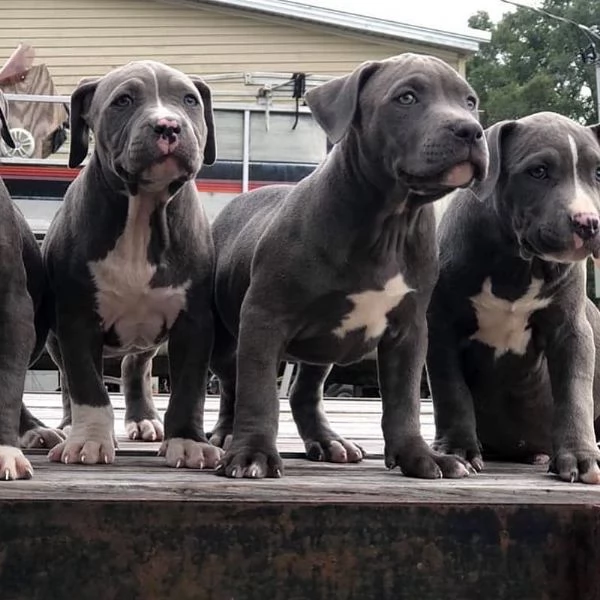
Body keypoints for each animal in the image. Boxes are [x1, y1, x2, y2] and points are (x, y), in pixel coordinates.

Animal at [43, 61, 223, 468]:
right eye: (123, 101)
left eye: (189, 99)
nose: (168, 125)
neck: (144, 209)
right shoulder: (76, 320)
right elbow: (87, 385)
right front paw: (90, 440)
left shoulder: (194, 322)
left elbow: (188, 389)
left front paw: (186, 441)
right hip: (54, 339)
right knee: (72, 381)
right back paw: (69, 424)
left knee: (134, 368)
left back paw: (144, 419)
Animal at [209, 54, 490, 480]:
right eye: (406, 98)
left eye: (469, 101)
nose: (470, 130)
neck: (391, 220)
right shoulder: (264, 317)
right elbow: (258, 393)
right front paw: (253, 453)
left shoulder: (409, 331)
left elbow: (404, 401)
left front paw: (418, 456)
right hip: (227, 338)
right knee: (232, 385)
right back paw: (227, 435)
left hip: (321, 347)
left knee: (304, 392)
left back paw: (328, 442)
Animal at [428, 112, 600, 486]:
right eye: (538, 171)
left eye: (598, 173)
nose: (588, 223)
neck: (518, 264)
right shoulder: (441, 327)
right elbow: (451, 390)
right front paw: (457, 449)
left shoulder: (572, 331)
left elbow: (574, 393)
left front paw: (580, 457)